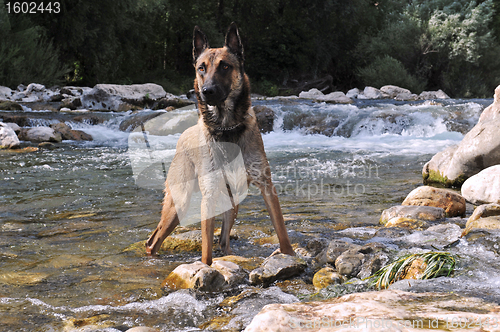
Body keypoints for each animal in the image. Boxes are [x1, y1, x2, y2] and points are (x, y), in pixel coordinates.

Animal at [145, 22, 294, 264]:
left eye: (225, 66)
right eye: (201, 68)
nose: (207, 92)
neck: (226, 128)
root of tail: (183, 135)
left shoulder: (266, 185)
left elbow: (281, 230)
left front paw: (289, 255)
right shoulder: (209, 195)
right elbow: (206, 249)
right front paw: (206, 268)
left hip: (232, 201)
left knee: (224, 240)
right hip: (179, 203)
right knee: (153, 241)